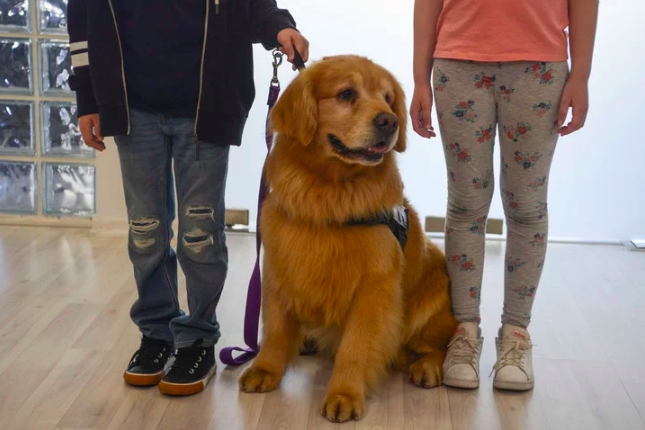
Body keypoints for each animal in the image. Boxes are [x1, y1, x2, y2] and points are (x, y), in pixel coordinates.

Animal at [239, 55, 456, 422]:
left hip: (427, 309)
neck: (330, 194)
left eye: (387, 98)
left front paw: (344, 394)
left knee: (443, 344)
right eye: (346, 94)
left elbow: (355, 345)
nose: (389, 121)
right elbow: (276, 331)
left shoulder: (374, 287)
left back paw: (428, 367)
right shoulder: (280, 268)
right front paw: (266, 368)